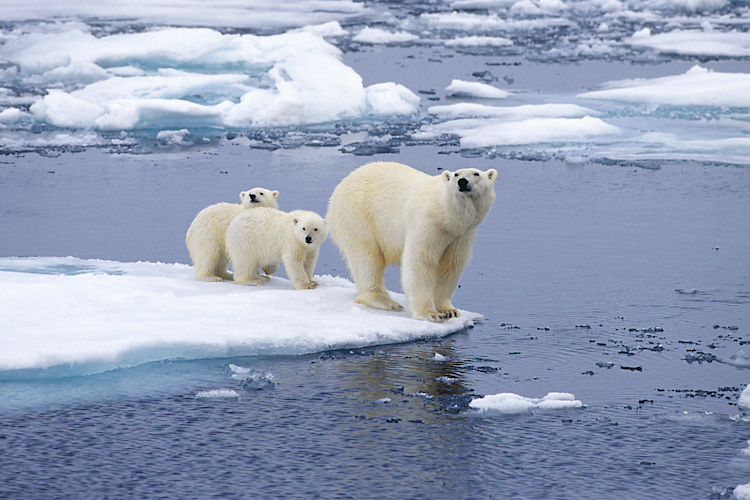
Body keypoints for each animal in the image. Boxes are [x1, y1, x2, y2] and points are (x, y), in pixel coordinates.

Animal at [326, 161, 497, 322]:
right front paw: (430, 314)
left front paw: (448, 310)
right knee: (366, 257)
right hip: (359, 216)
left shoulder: (461, 235)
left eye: (476, 174)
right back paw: (385, 301)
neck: (444, 212)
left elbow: (451, 265)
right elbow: (420, 260)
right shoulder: (427, 222)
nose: (462, 182)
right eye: (456, 174)